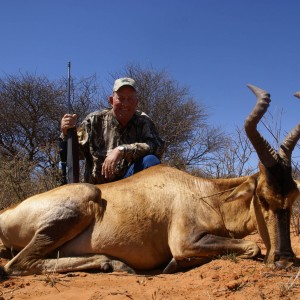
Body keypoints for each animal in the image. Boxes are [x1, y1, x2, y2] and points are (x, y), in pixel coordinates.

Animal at [0, 83, 298, 276]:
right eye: (262, 197)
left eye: (294, 196)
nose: (285, 261)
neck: (202, 191)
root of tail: (8, 211)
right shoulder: (185, 241)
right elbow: (251, 246)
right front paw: (173, 265)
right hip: (83, 199)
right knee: (16, 265)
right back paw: (114, 263)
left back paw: (113, 264)